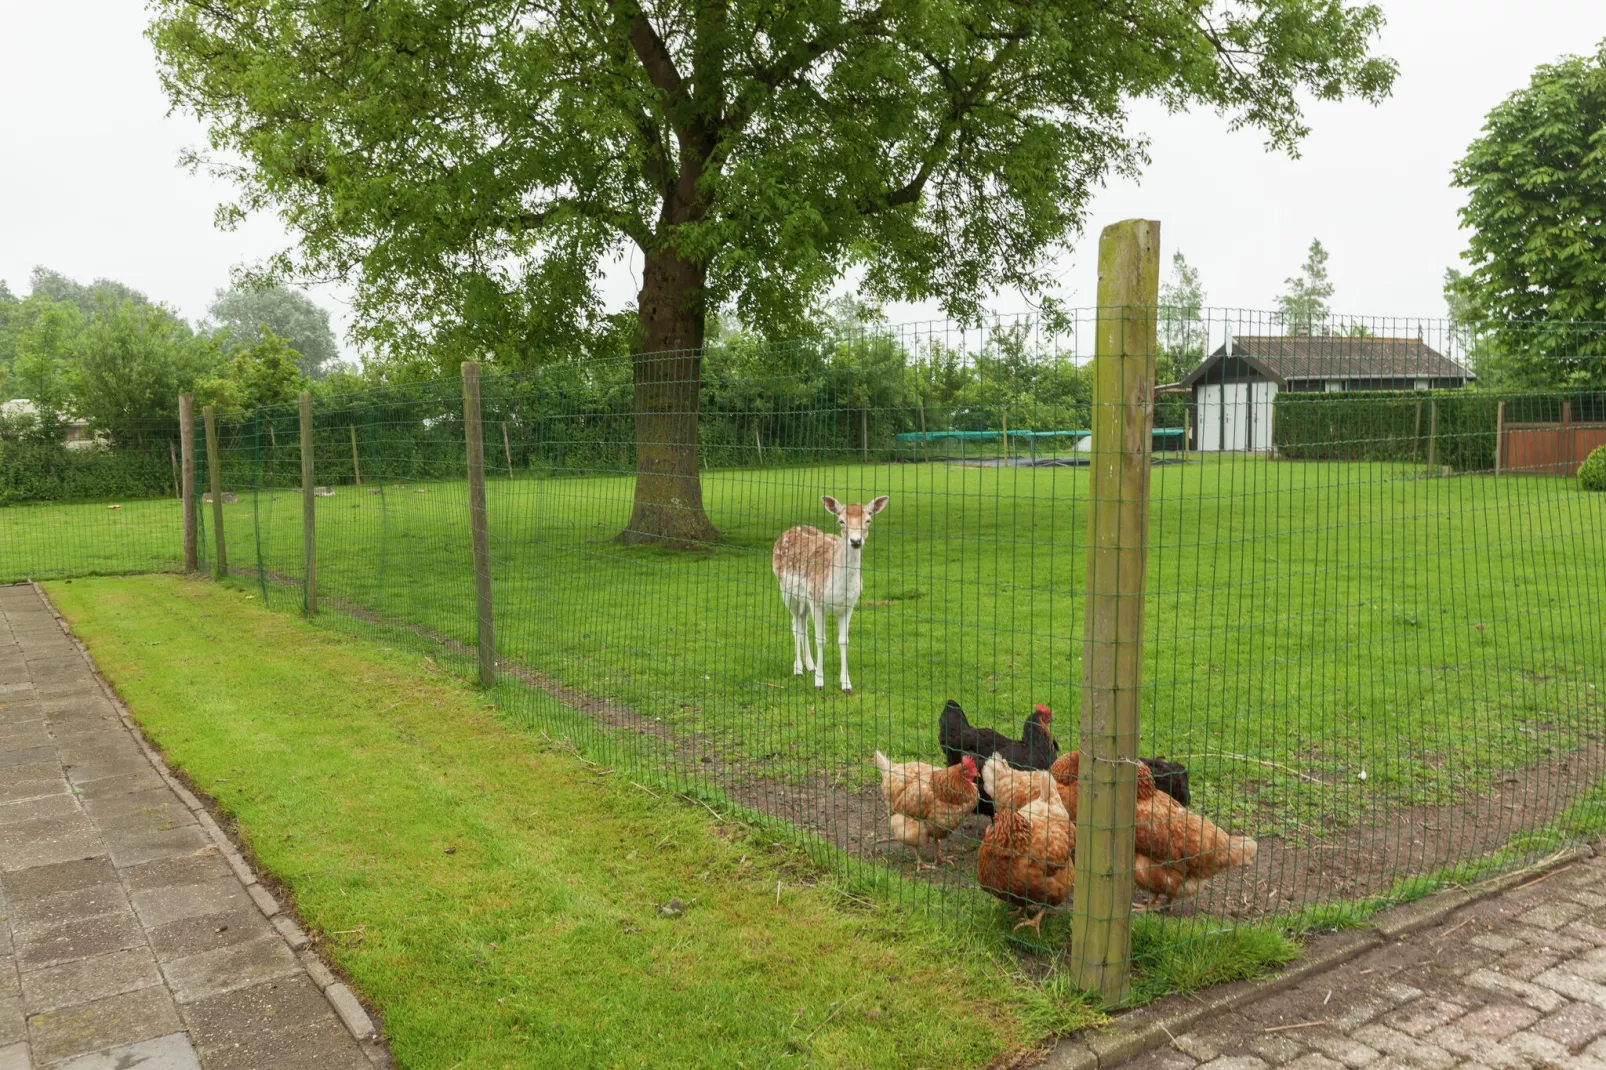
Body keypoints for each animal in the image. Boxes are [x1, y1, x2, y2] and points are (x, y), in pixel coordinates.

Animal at [767, 494, 886, 690]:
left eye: (868, 520)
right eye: (841, 521)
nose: (855, 541)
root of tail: (788, 530)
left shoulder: (848, 605)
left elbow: (844, 640)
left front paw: (846, 684)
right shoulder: (817, 600)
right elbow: (821, 639)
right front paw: (819, 682)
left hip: (804, 598)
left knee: (802, 623)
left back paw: (810, 665)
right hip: (786, 591)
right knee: (795, 625)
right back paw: (798, 669)